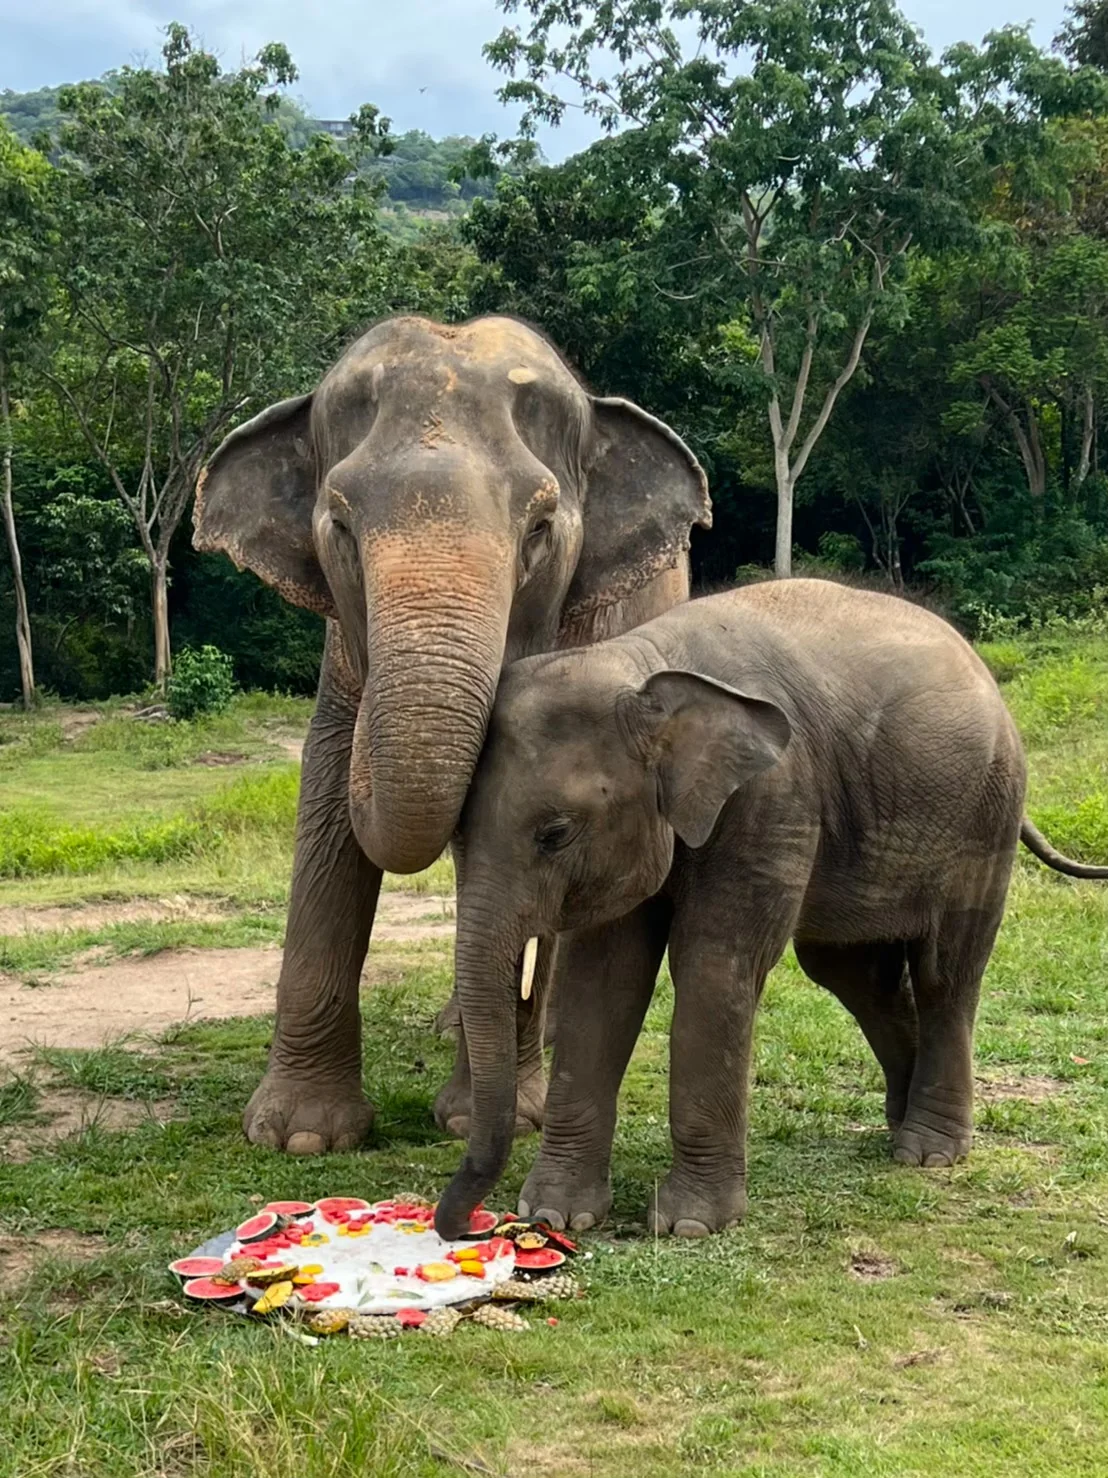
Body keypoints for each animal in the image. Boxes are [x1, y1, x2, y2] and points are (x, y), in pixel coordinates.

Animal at [433, 577, 1108, 1239]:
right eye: (457, 830)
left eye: (555, 834)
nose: (470, 1228)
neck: (641, 664)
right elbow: (604, 979)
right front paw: (554, 1214)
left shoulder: (774, 796)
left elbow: (715, 966)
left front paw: (690, 1226)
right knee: (854, 975)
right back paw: (900, 1122)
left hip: (985, 816)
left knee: (945, 973)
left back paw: (928, 1151)